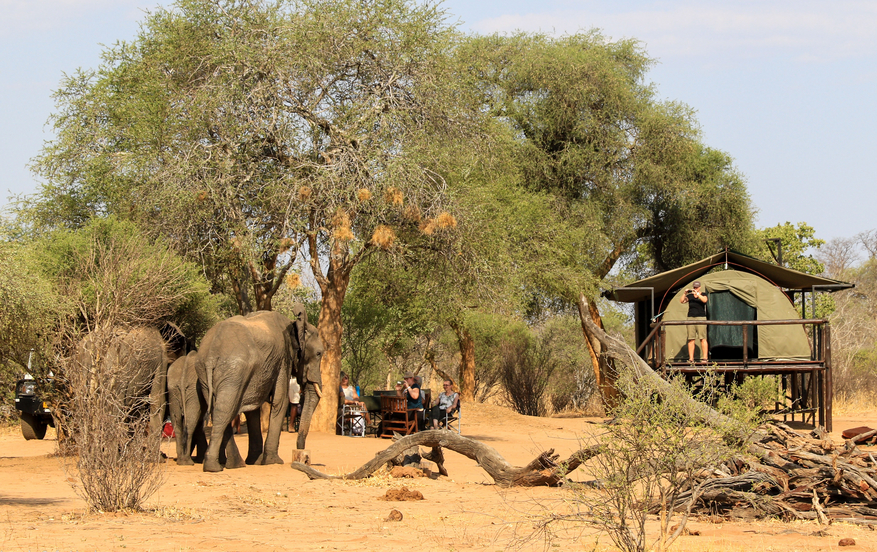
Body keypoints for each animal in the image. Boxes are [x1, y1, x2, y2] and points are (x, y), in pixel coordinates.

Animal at [195, 304, 308, 472]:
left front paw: (256, 461)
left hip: (205, 371)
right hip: (234, 370)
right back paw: (216, 467)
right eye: (318, 354)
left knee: (220, 409)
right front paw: (273, 461)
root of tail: (210, 355)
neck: (291, 322)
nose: (301, 453)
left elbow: (253, 408)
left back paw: (232, 465)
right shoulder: (283, 358)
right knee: (225, 410)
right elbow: (280, 402)